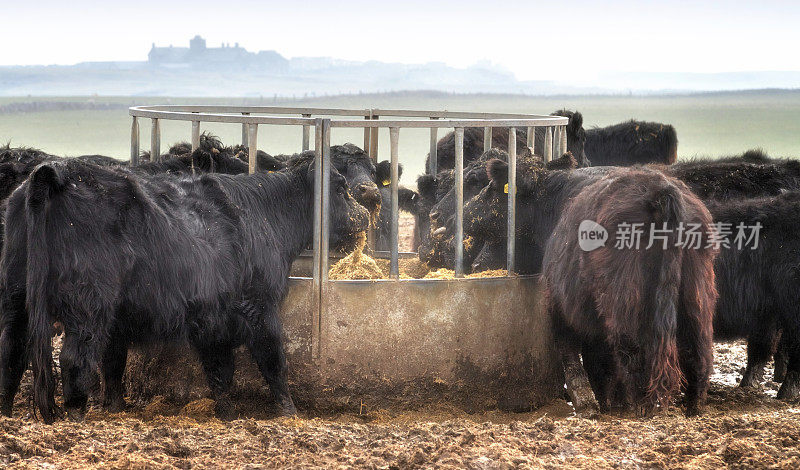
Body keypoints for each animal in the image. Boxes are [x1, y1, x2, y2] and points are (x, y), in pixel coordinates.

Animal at [0, 154, 368, 422]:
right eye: (340, 187)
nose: (364, 215)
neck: (263, 216)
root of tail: (58, 171)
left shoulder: (211, 318)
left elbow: (216, 372)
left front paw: (226, 414)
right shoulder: (260, 307)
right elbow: (272, 360)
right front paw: (289, 412)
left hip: (17, 297)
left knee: (12, 353)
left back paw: (6, 412)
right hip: (88, 304)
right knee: (75, 359)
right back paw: (76, 416)